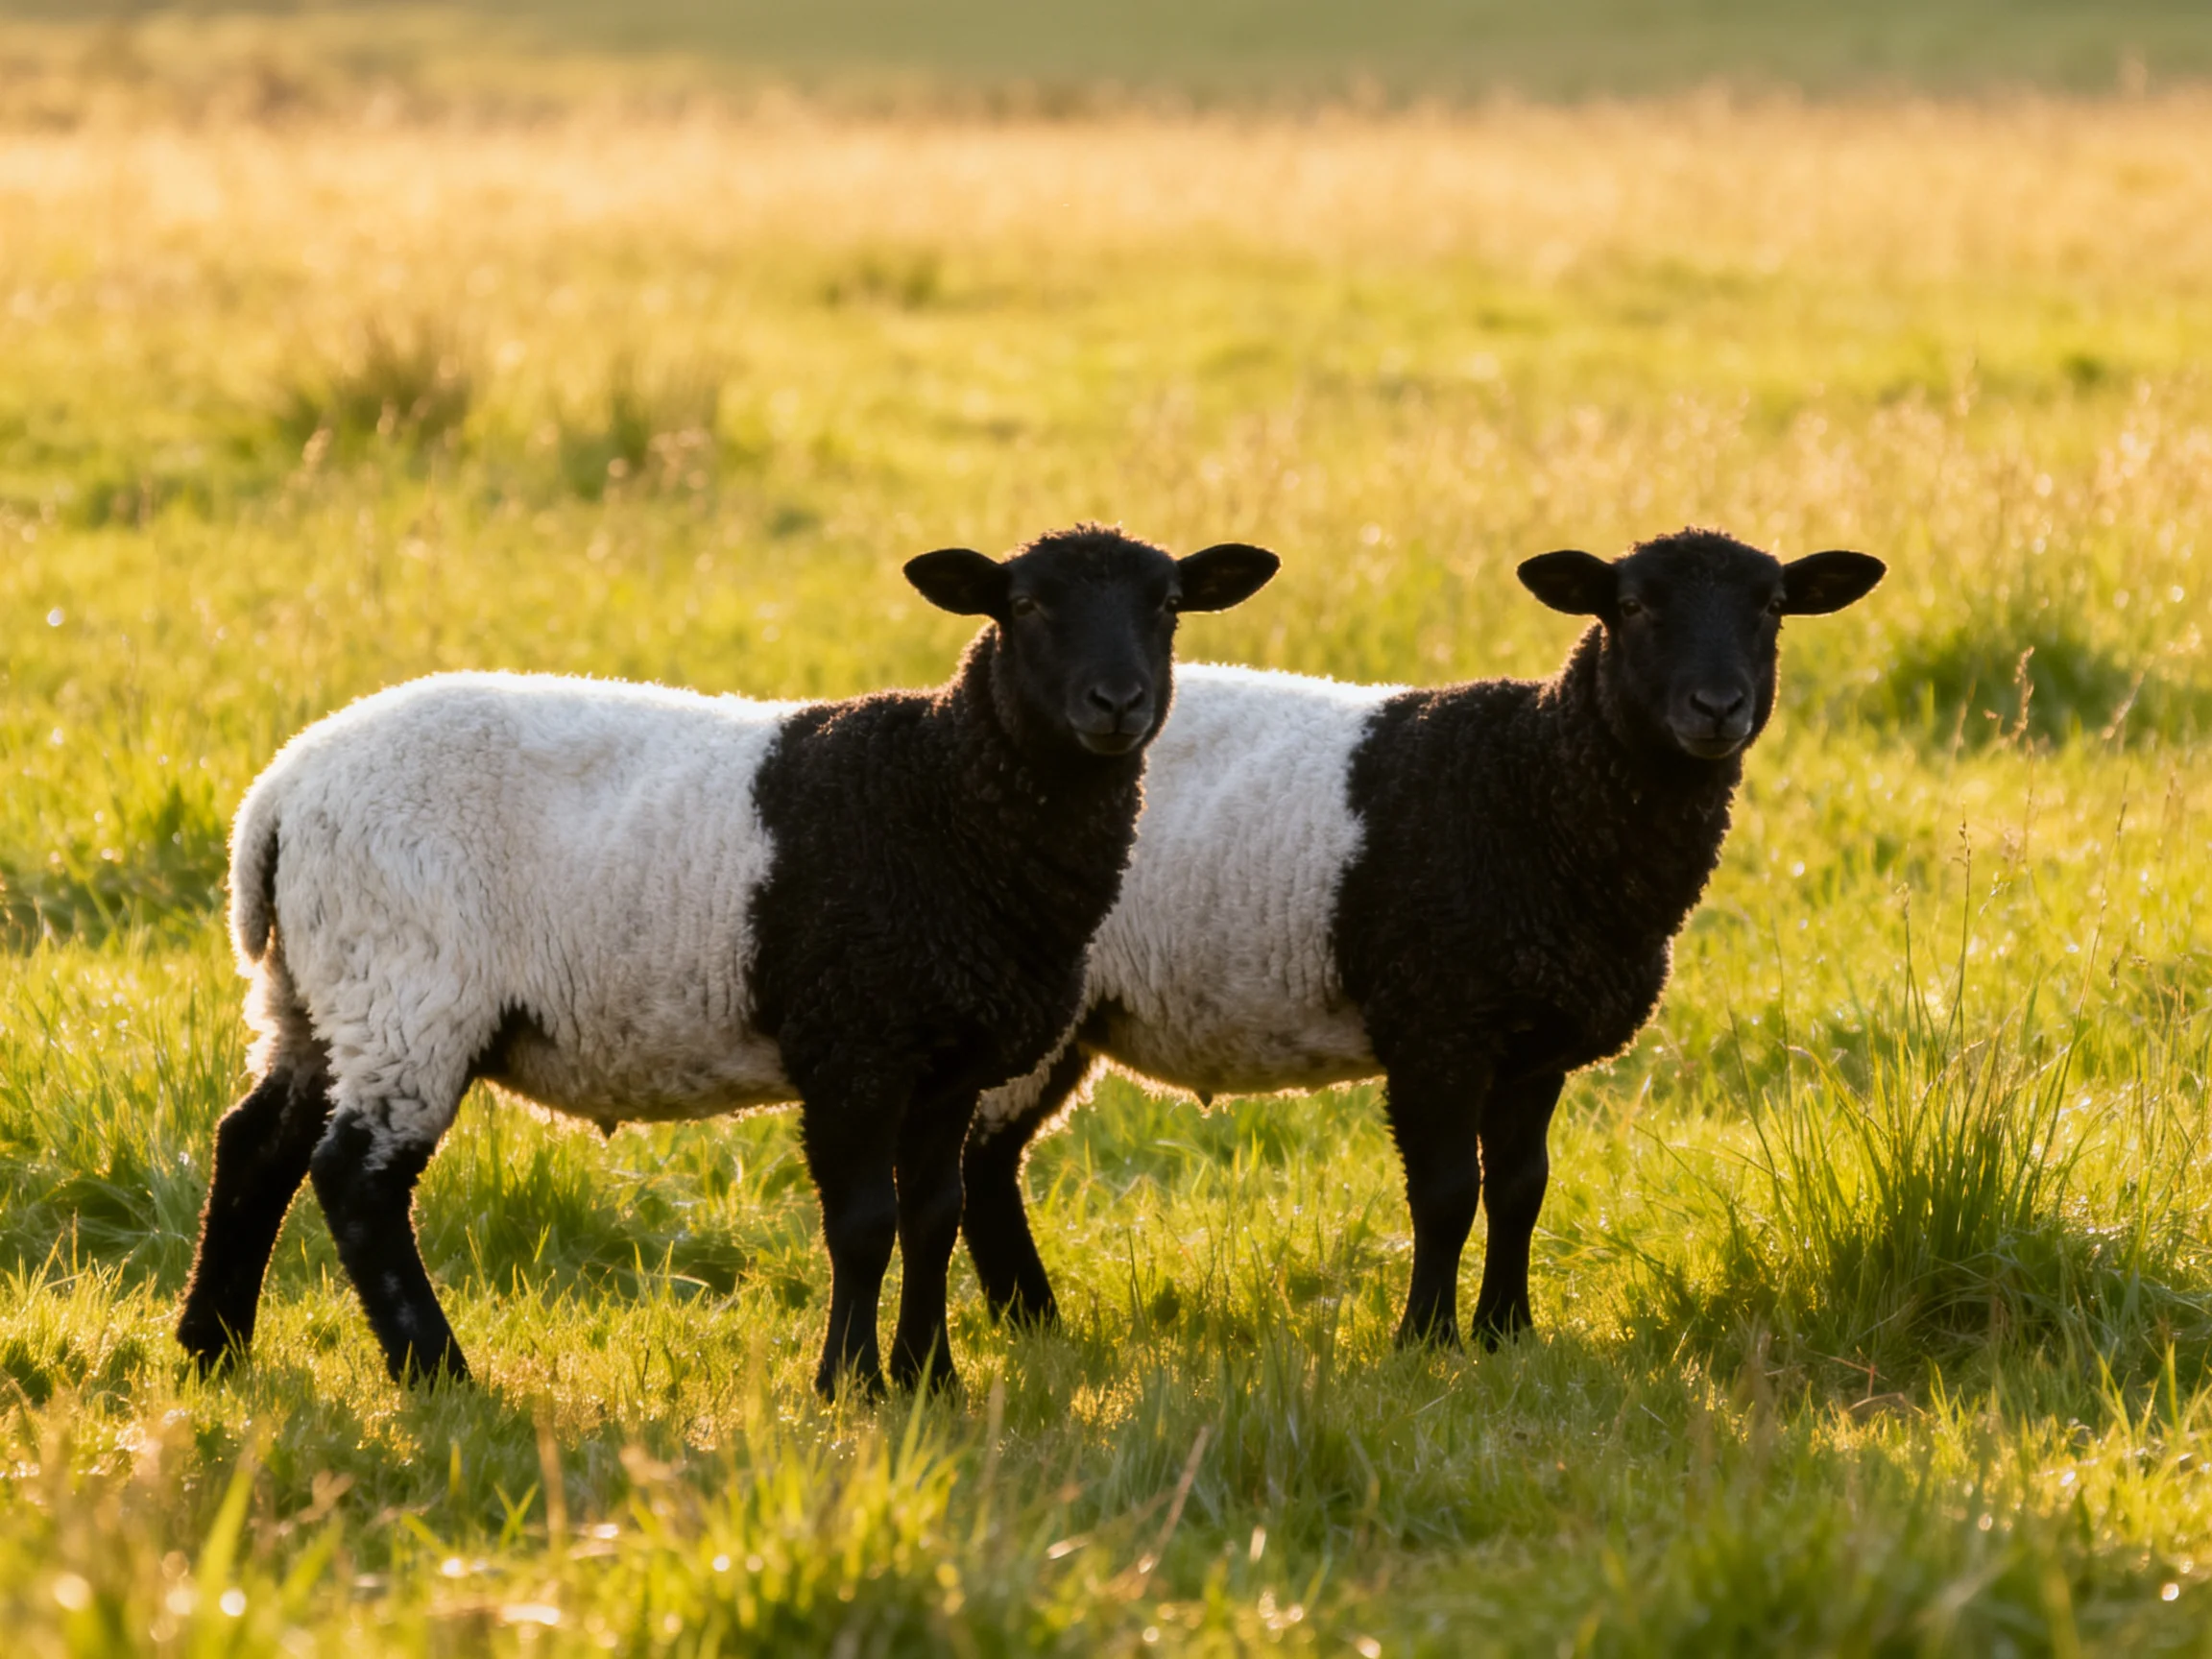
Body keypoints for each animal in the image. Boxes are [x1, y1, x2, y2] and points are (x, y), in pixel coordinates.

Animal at [175, 524, 1280, 1397]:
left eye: (1169, 604)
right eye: (1027, 604)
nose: (1117, 702)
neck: (945, 795)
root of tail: (281, 794)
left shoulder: (946, 1060)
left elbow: (934, 1215)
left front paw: (932, 1380)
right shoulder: (851, 1043)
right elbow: (863, 1222)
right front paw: (850, 1385)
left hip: (315, 990)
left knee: (256, 1144)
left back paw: (211, 1349)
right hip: (409, 986)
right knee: (355, 1177)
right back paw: (435, 1369)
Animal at [961, 528, 1884, 1348]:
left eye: (1772, 606)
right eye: (1630, 606)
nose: (1718, 709)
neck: (1536, 787)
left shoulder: (1532, 1045)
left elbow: (1520, 1189)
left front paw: (1508, 1333)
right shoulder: (1435, 1023)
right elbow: (1445, 1195)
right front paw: (1426, 1340)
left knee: (987, 1168)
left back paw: (1037, 1329)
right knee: (979, 1166)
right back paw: (1032, 1325)